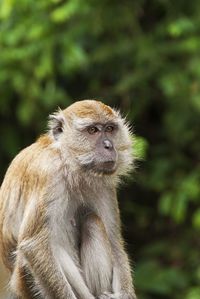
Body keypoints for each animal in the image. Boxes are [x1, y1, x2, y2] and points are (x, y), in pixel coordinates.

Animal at [0, 101, 136, 299]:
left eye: (110, 129)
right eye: (93, 130)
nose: (109, 146)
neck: (69, 163)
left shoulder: (104, 186)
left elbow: (113, 240)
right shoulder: (49, 173)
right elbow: (34, 245)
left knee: (93, 222)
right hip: (23, 284)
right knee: (53, 245)